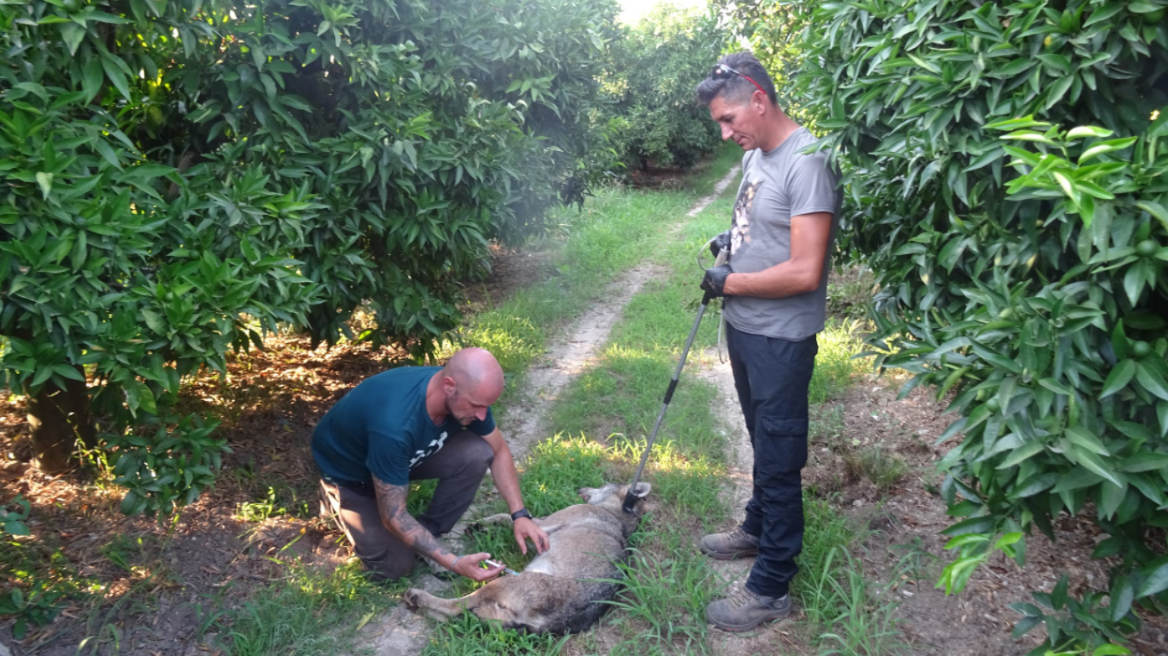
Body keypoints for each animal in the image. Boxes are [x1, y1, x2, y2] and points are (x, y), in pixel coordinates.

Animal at [404, 480, 654, 634]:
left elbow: (509, 516)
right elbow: (509, 518)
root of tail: (545, 627)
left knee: (456, 606)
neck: (618, 516)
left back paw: (418, 598)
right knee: (457, 616)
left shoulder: (542, 526)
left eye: (603, 484)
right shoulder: (539, 537)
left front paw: (480, 524)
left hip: (504, 581)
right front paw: (480, 527)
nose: (583, 487)